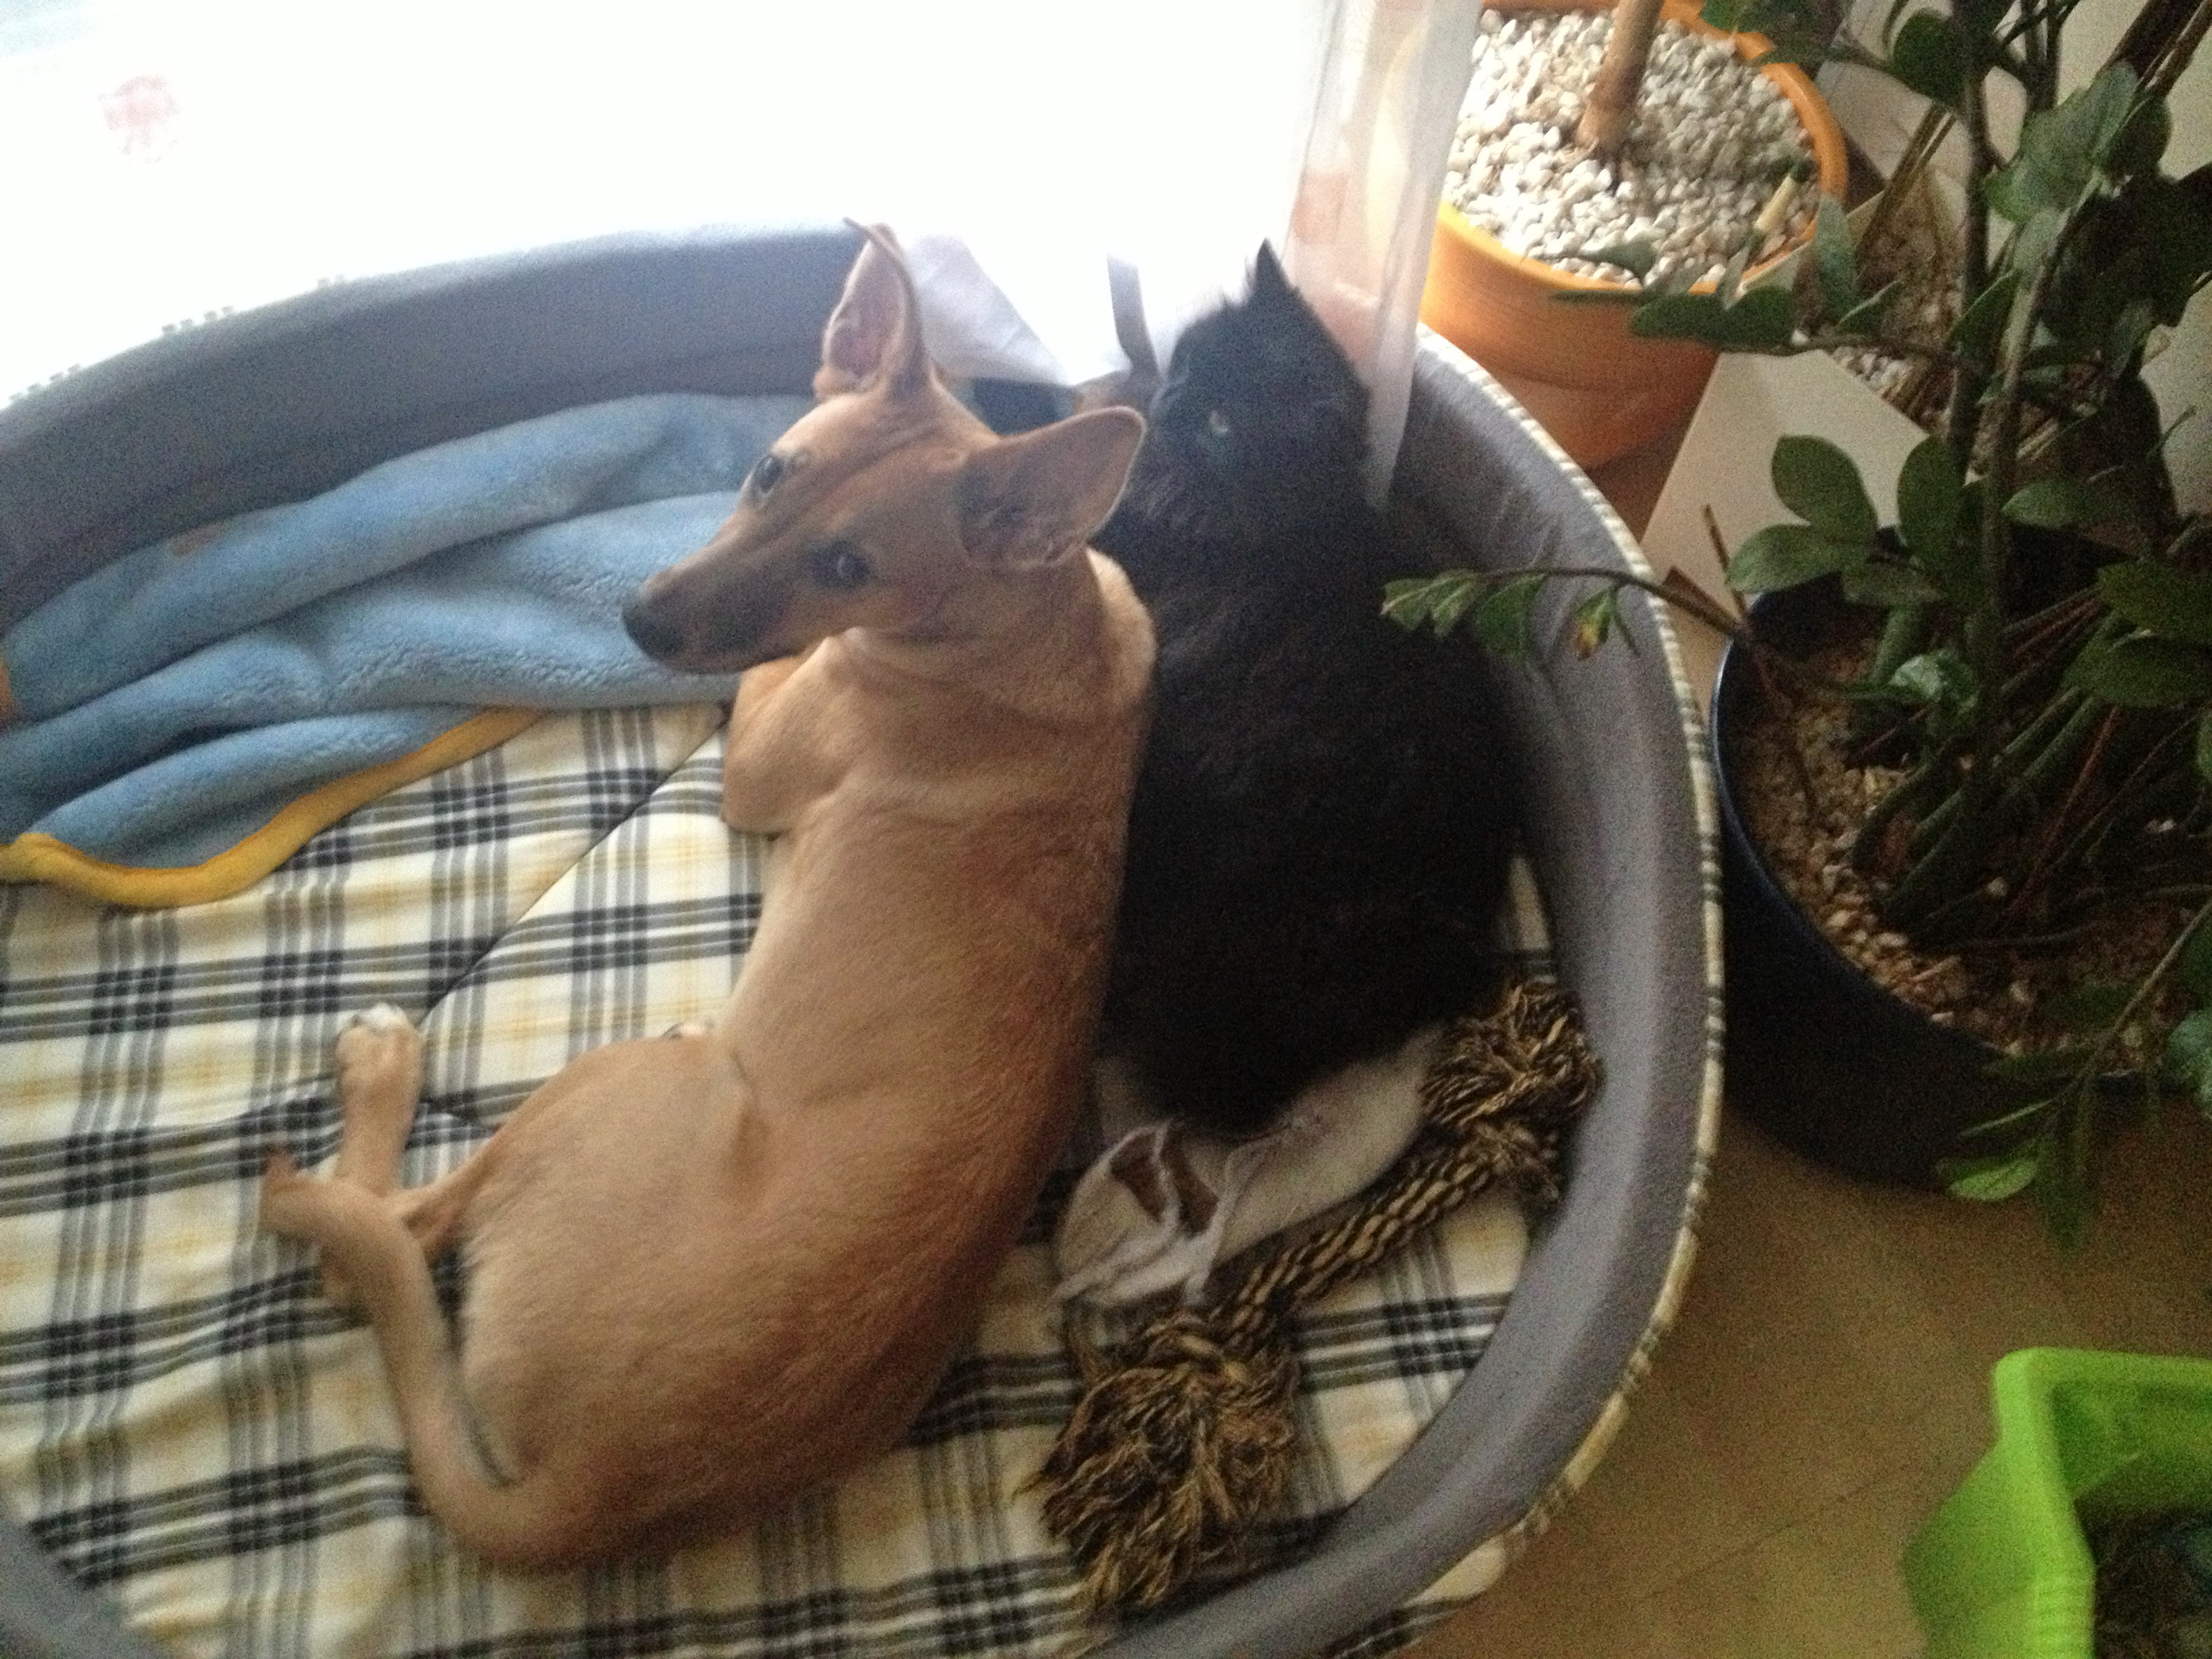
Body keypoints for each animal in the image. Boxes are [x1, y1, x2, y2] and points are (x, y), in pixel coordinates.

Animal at [258, 225, 1153, 1568]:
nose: (638, 619)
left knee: (377, 1241)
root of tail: (592, 1491)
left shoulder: (762, 757)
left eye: (849, 564)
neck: (1035, 617)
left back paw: (380, 1066)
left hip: (607, 1087)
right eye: (772, 470)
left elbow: (762, 685)